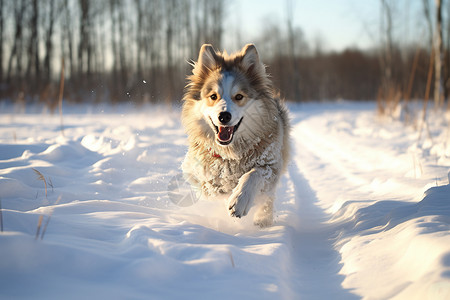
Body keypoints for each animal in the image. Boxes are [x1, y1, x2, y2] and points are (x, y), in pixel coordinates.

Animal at [181, 44, 290, 227]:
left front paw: (239, 201)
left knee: (267, 200)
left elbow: (254, 173)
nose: (224, 116)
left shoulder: (272, 165)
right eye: (213, 96)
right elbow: (213, 187)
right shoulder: (195, 172)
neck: (231, 153)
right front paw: (229, 194)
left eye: (239, 96)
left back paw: (262, 220)